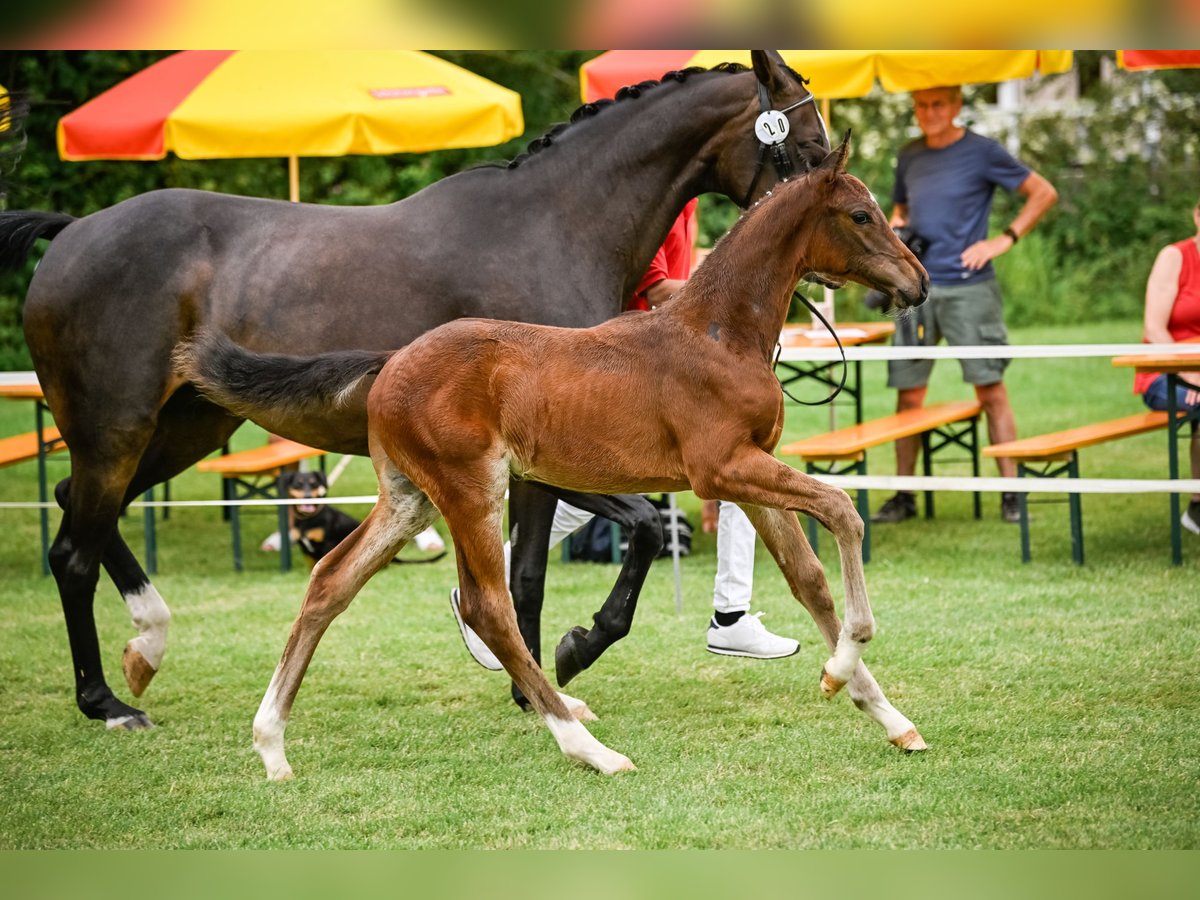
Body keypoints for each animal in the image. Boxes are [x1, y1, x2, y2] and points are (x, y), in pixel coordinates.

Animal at [283, 472, 448, 571]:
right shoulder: (305, 549)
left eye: (313, 483)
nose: (307, 496)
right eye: (298, 483)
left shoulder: (328, 544)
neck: (307, 520)